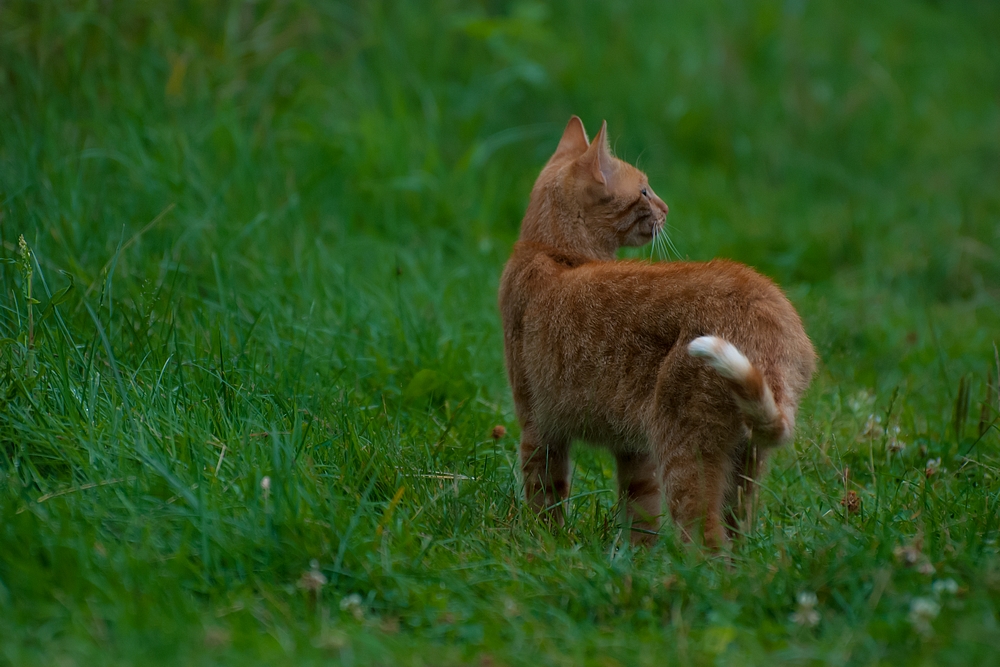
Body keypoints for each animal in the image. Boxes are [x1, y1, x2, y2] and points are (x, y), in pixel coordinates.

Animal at [496, 117, 816, 552]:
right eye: (645, 191)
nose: (665, 208)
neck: (552, 250)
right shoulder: (634, 451)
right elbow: (640, 514)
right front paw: (635, 561)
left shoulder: (537, 428)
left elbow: (545, 500)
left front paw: (546, 546)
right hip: (742, 462)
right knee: (738, 540)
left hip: (682, 450)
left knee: (706, 540)